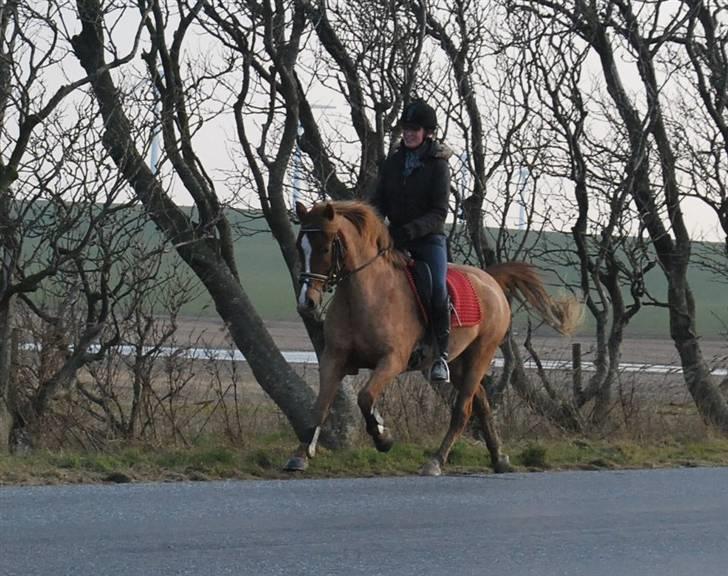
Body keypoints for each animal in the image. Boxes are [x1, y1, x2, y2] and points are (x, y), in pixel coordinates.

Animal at [284, 200, 580, 474]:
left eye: (325, 248)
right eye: (300, 246)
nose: (306, 303)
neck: (364, 295)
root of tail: (490, 280)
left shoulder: (392, 360)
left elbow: (365, 398)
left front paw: (383, 438)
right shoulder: (333, 359)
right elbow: (319, 407)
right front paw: (299, 456)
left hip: (480, 355)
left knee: (462, 411)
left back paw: (436, 461)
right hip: (459, 362)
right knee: (482, 404)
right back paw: (499, 459)